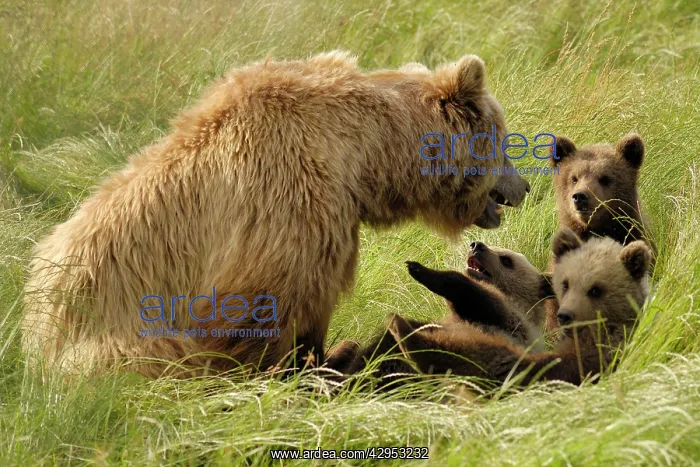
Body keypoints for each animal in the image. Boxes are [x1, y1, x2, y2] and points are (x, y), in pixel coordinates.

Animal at [22, 51, 531, 378]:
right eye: (504, 138)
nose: (524, 186)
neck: (364, 157)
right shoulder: (283, 200)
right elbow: (261, 308)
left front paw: (325, 356)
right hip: (111, 332)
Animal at [384, 228, 651, 388]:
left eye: (506, 260)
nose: (476, 244)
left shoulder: (507, 320)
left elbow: (468, 292)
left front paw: (420, 269)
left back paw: (403, 332)